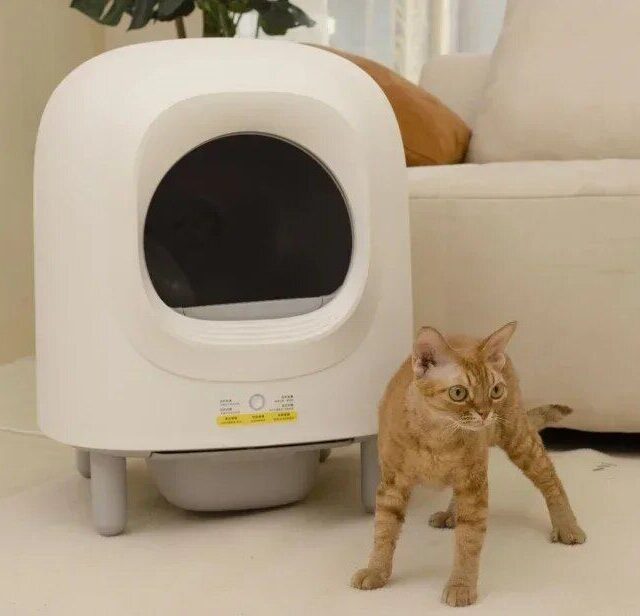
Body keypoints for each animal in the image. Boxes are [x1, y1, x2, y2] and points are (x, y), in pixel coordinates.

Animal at [351, 322, 585, 607]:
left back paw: (567, 526)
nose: (485, 413)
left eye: (495, 390)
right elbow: (383, 532)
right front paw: (376, 571)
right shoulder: (392, 485)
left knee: (550, 478)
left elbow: (468, 541)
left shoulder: (474, 486)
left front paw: (461, 585)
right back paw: (450, 514)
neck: (437, 438)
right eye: (458, 393)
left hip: (518, 439)